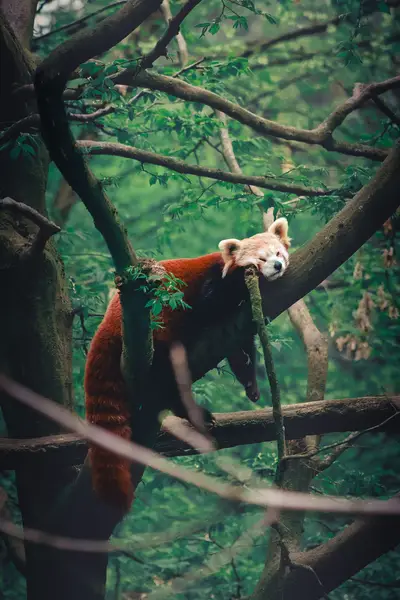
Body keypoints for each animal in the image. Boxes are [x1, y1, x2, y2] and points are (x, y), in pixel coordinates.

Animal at [85, 218, 290, 508]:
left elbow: (240, 350)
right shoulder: (213, 286)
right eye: (261, 258)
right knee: (166, 379)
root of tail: (108, 321)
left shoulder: (240, 322)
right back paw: (193, 412)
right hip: (156, 334)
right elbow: (211, 303)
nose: (277, 266)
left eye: (278, 253)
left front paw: (251, 386)